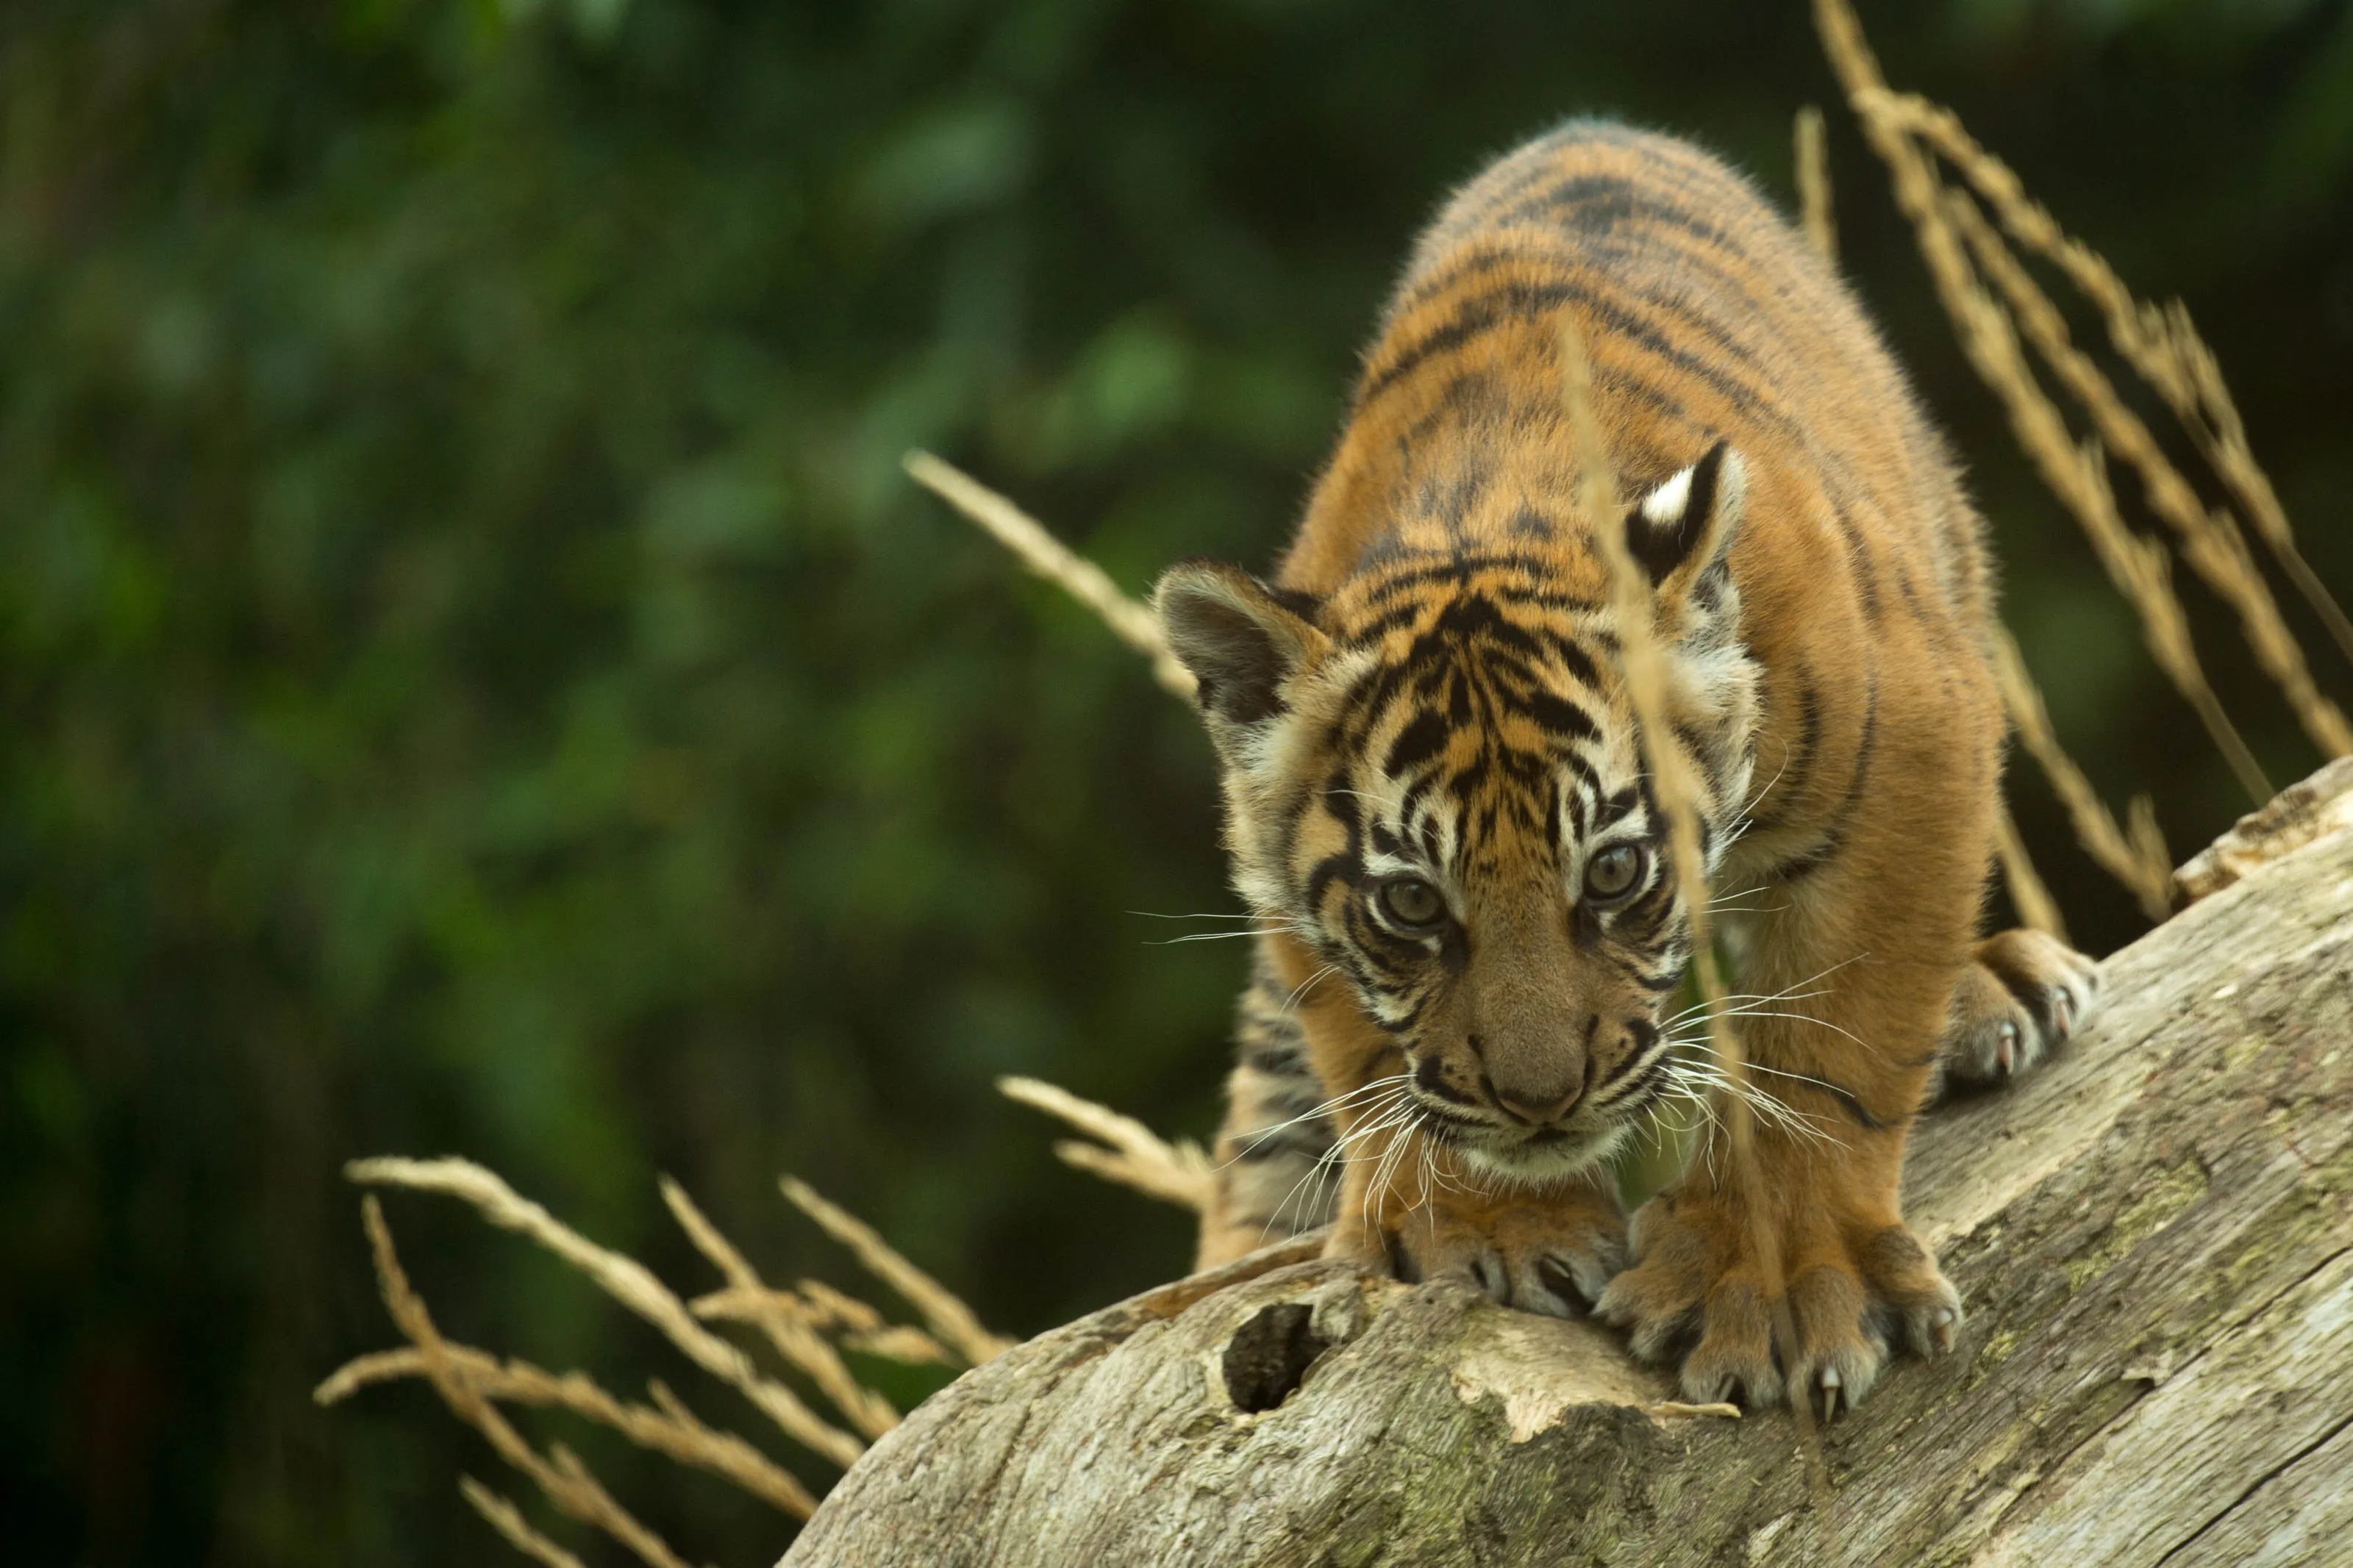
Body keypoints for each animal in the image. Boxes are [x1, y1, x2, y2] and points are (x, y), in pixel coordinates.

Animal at [1153, 118, 2101, 1414]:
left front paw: (1776, 1281)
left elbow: (1831, 1043)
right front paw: (1481, 1220)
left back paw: (1988, 990)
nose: (1539, 1101)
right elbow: (1362, 1052)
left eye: (1613, 875)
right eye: (1411, 905)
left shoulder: (1914, 734)